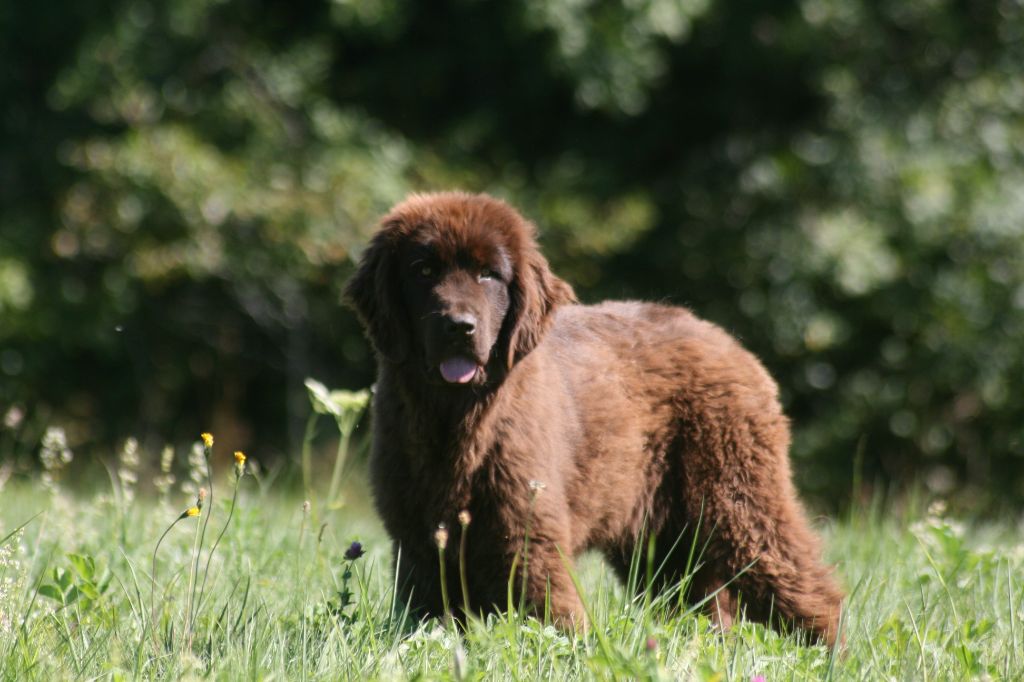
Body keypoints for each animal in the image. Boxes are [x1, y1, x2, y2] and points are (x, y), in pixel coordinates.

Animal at [344, 189, 839, 643]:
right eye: (423, 271)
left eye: (489, 275)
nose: (459, 327)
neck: (454, 420)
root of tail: (728, 341)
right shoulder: (420, 541)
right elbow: (427, 614)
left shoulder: (529, 532)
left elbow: (550, 612)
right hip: (662, 540)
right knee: (701, 601)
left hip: (738, 498)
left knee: (804, 582)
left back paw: (830, 652)